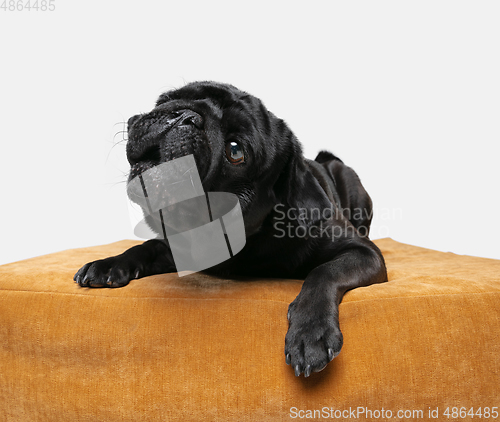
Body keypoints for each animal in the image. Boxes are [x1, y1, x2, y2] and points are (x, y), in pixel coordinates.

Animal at [74, 81, 386, 378]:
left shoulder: (364, 253)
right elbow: (146, 247)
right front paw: (109, 264)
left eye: (235, 151)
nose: (185, 116)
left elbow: (324, 272)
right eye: (168, 98)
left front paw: (311, 332)